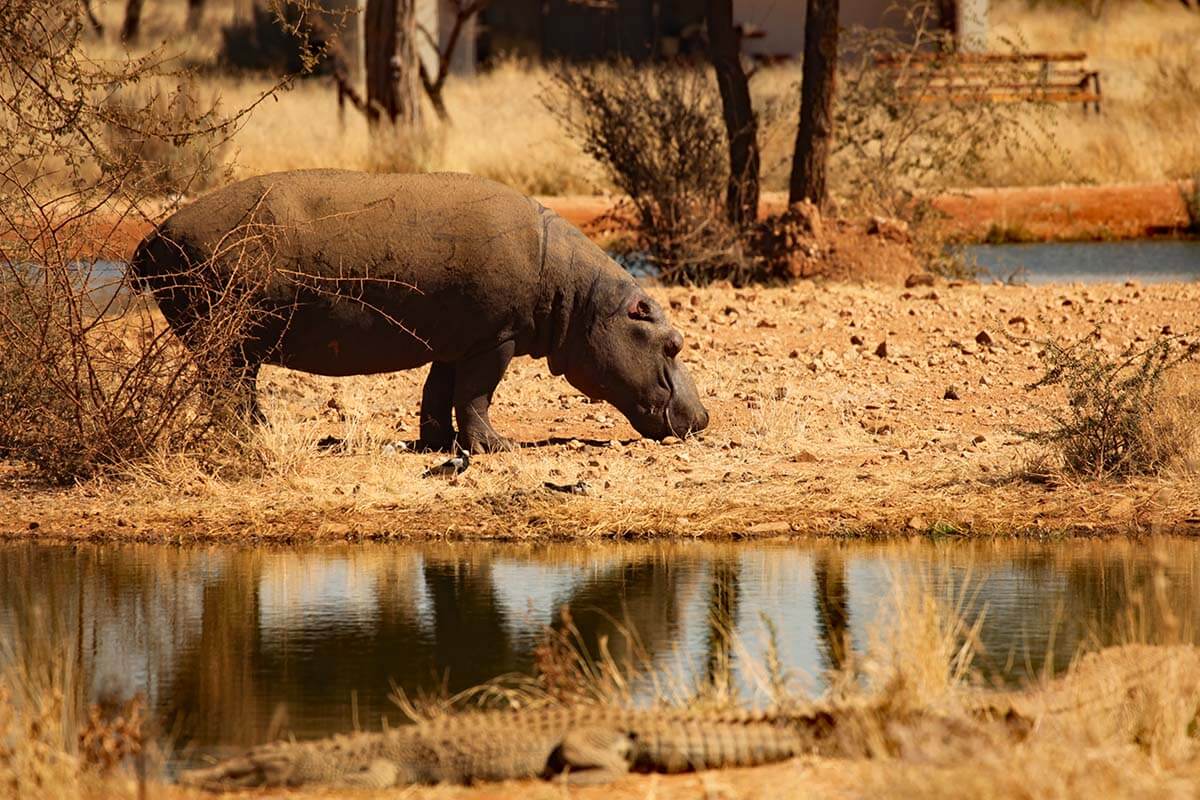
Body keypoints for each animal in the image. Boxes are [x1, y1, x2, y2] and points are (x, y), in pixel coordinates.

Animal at [130, 170, 709, 452]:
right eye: (673, 343)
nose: (703, 418)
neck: (579, 295)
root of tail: (153, 237)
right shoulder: (494, 340)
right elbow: (476, 395)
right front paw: (499, 447)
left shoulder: (458, 340)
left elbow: (438, 393)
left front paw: (436, 445)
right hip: (226, 335)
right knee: (226, 390)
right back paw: (249, 438)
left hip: (236, 343)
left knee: (236, 388)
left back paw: (263, 432)